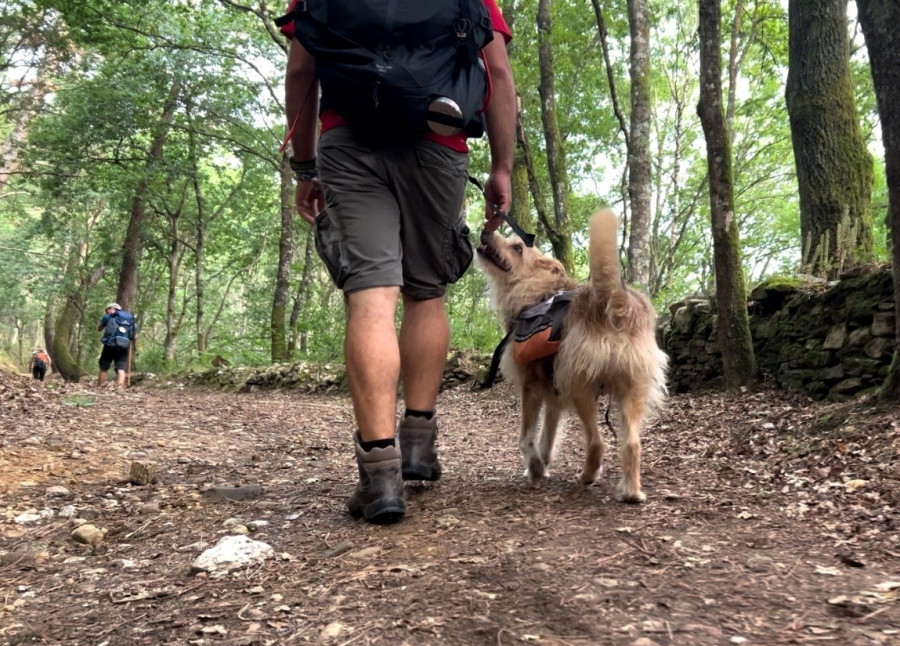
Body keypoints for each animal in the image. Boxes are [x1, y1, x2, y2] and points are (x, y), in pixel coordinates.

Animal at [478, 210, 668, 504]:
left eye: (518, 248)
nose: (485, 232)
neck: (537, 292)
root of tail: (613, 300)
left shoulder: (531, 387)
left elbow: (526, 437)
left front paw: (534, 468)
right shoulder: (554, 396)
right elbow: (547, 436)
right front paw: (542, 464)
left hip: (581, 387)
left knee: (597, 442)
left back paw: (587, 477)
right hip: (631, 390)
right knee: (632, 443)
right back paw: (631, 492)